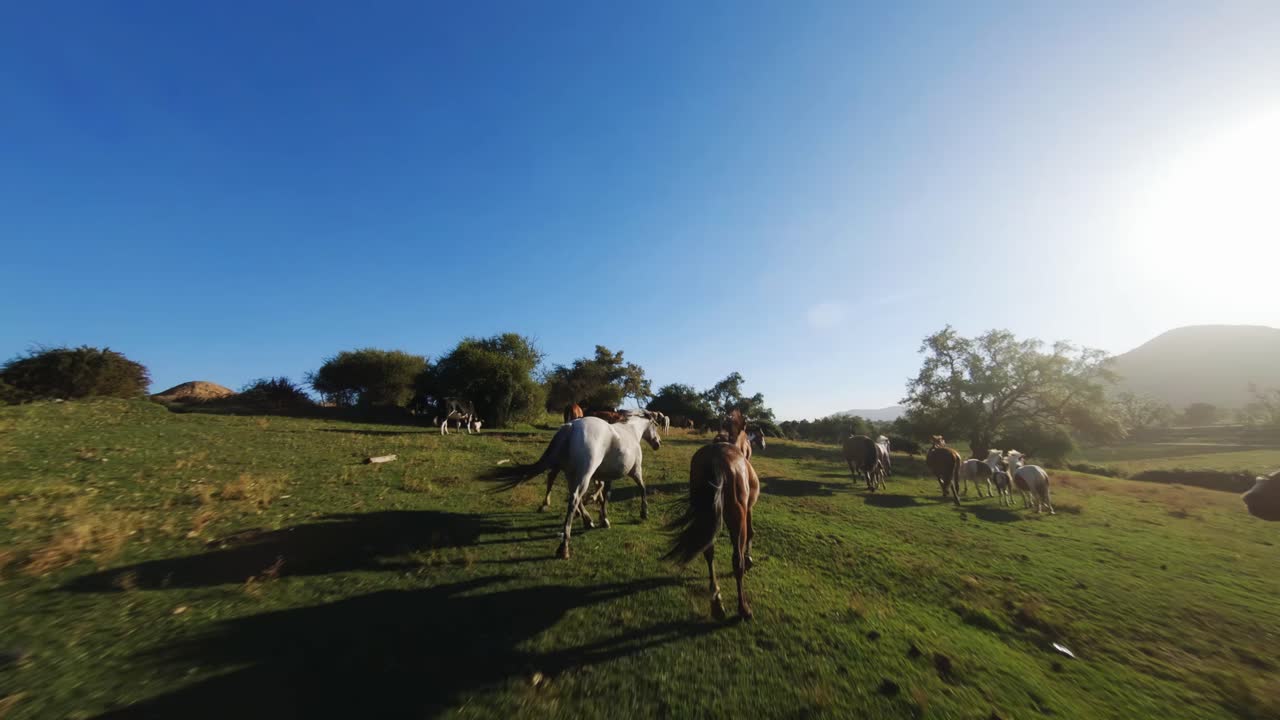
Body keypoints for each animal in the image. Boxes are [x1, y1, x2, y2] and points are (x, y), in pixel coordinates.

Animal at [485, 414, 661, 558]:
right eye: (655, 426)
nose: (658, 443)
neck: (631, 432)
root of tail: (570, 427)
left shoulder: (606, 477)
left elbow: (604, 497)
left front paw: (603, 518)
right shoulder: (635, 472)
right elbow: (642, 488)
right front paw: (644, 513)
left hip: (571, 474)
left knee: (573, 496)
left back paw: (587, 520)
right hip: (584, 475)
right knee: (575, 499)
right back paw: (564, 547)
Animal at [665, 410, 760, 620]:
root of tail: (716, 460)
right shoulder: (747, 510)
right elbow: (751, 533)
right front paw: (750, 559)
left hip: (707, 518)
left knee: (708, 551)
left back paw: (717, 601)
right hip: (736, 517)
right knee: (736, 561)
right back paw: (743, 608)